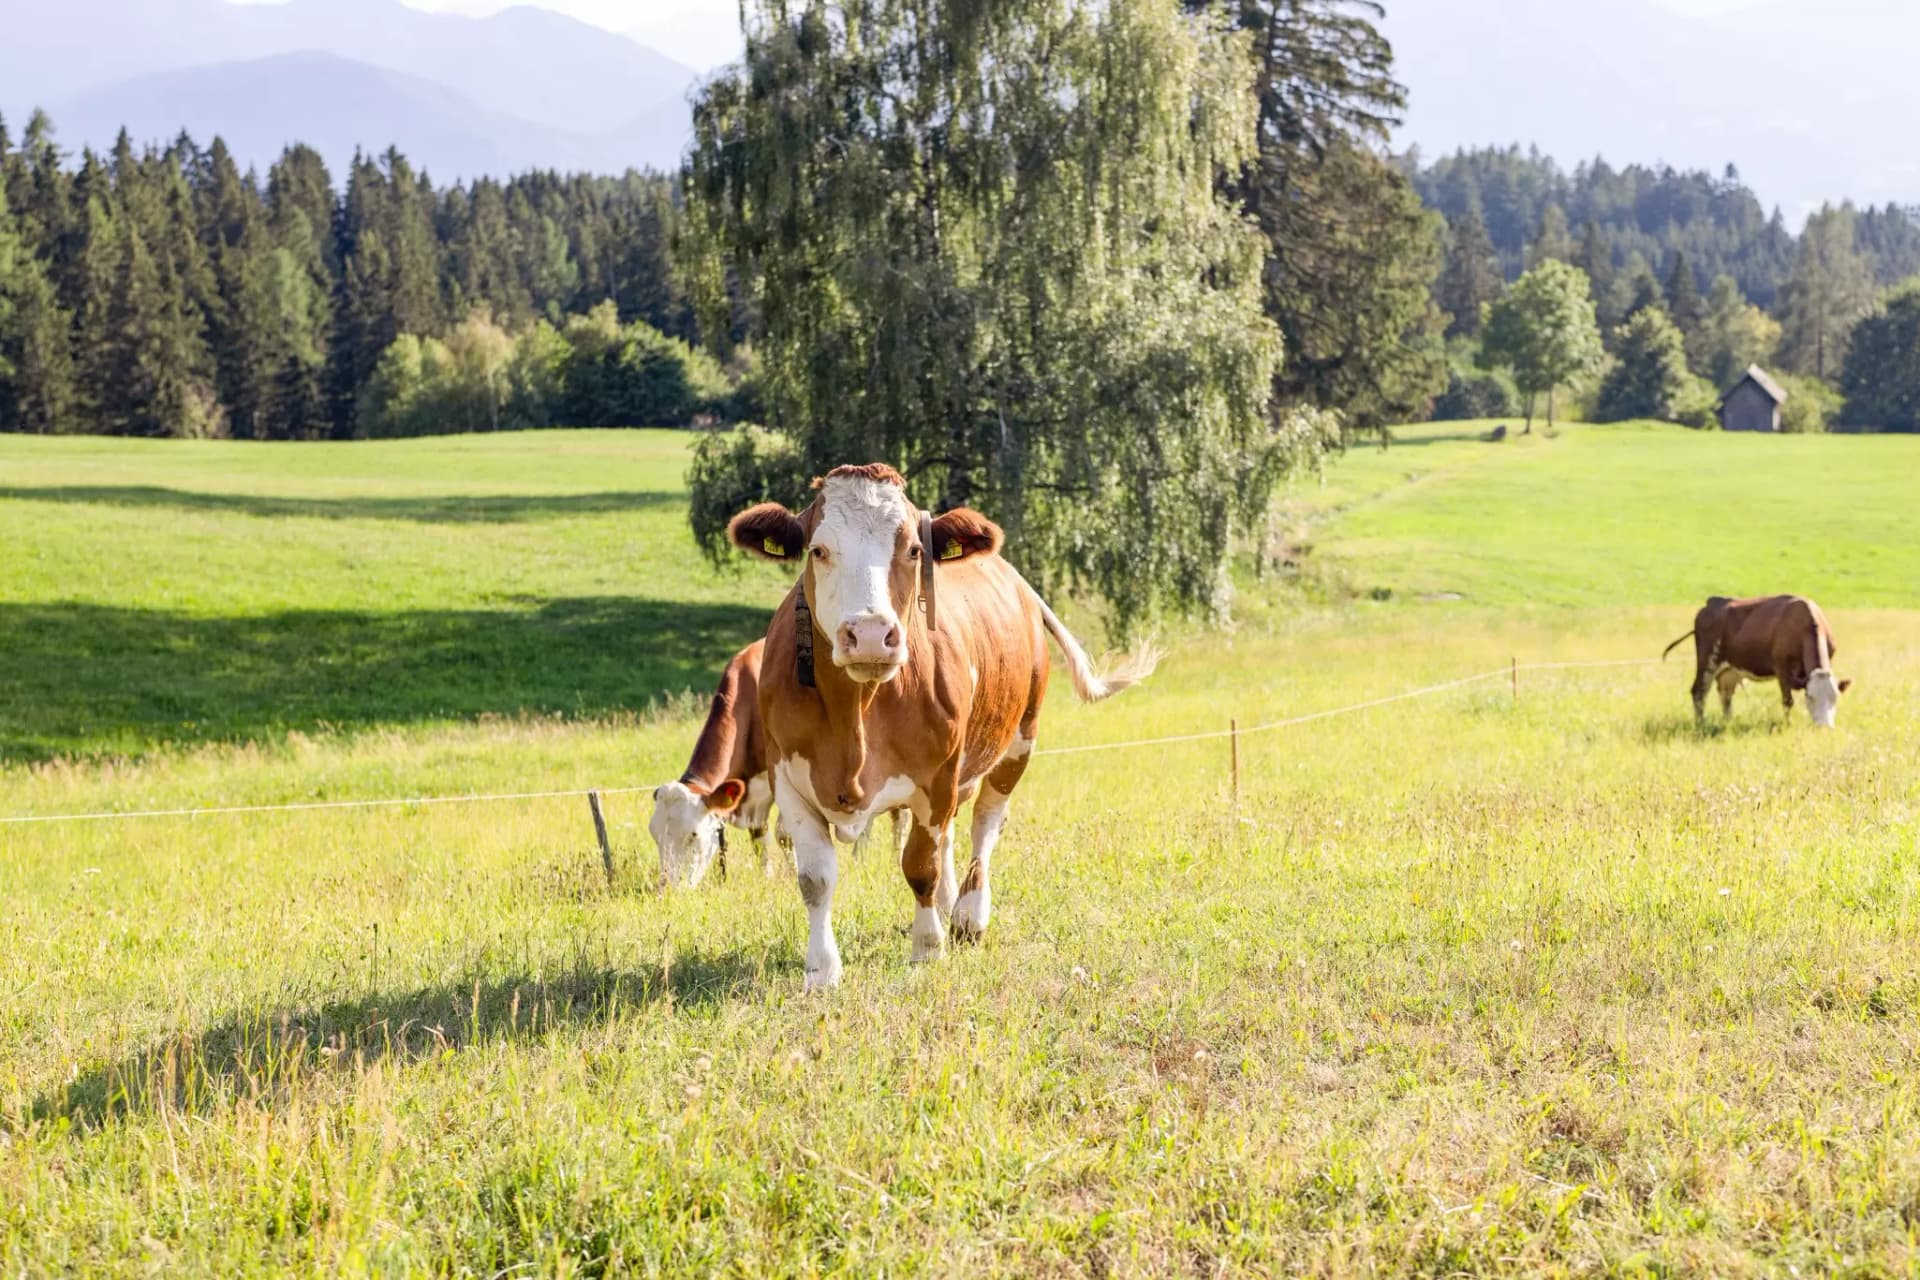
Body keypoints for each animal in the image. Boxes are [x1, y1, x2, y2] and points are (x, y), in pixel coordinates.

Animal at [650, 639, 908, 889]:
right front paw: (766, 875)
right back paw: (860, 858)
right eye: (654, 834)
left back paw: (895, 859)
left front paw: (795, 873)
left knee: (900, 817)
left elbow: (785, 833)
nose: (666, 887)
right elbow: (759, 834)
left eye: (693, 834)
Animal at [727, 463, 1155, 989]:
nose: (870, 634)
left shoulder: (937, 776)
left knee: (984, 825)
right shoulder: (787, 776)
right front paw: (821, 970)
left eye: (913, 550)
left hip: (1017, 743)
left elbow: (920, 865)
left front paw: (928, 947)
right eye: (818, 550)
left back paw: (970, 914)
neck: (857, 713)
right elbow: (815, 878)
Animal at [1664, 594, 1852, 728]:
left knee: (1725, 694)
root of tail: (1712, 602)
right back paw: (1700, 724)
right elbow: (1788, 701)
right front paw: (1787, 725)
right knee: (1699, 692)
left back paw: (1728, 722)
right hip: (1708, 660)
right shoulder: (1782, 669)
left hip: (1730, 669)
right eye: (1810, 697)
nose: (1824, 727)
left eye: (1835, 697)